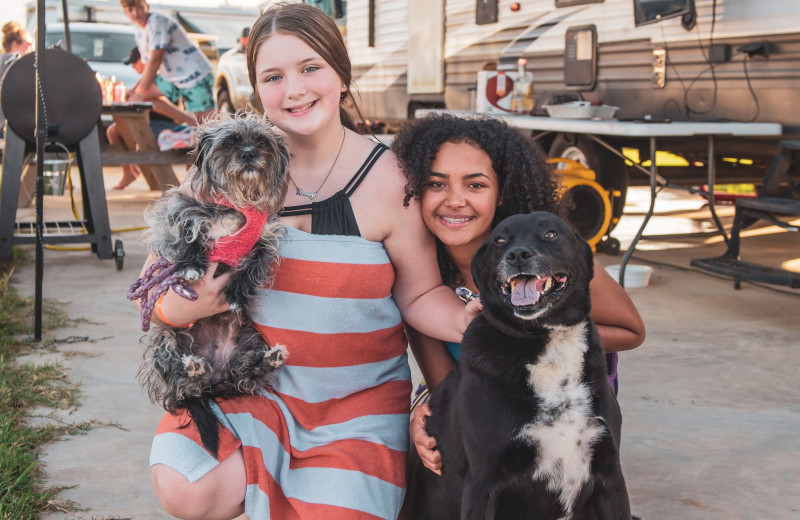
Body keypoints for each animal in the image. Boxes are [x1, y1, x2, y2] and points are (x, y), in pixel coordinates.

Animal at [130, 110, 292, 456]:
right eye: (230, 142)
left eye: (262, 141)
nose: (249, 154)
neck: (236, 200)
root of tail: (214, 381)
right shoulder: (178, 211)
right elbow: (185, 234)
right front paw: (191, 264)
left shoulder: (264, 238)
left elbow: (252, 267)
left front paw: (237, 294)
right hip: (164, 338)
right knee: (179, 382)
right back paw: (191, 369)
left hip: (250, 340)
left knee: (245, 375)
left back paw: (267, 360)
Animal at [412, 211, 632, 520]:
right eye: (500, 241)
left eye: (550, 234)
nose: (517, 255)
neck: (545, 340)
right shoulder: (483, 482)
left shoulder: (611, 476)